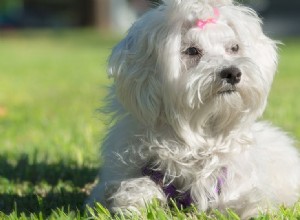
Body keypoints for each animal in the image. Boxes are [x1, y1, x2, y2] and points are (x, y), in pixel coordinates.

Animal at [88, 0, 300, 217]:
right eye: (191, 51)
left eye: (234, 48)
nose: (233, 72)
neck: (199, 134)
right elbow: (134, 188)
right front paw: (135, 201)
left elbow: (249, 199)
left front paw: (255, 210)